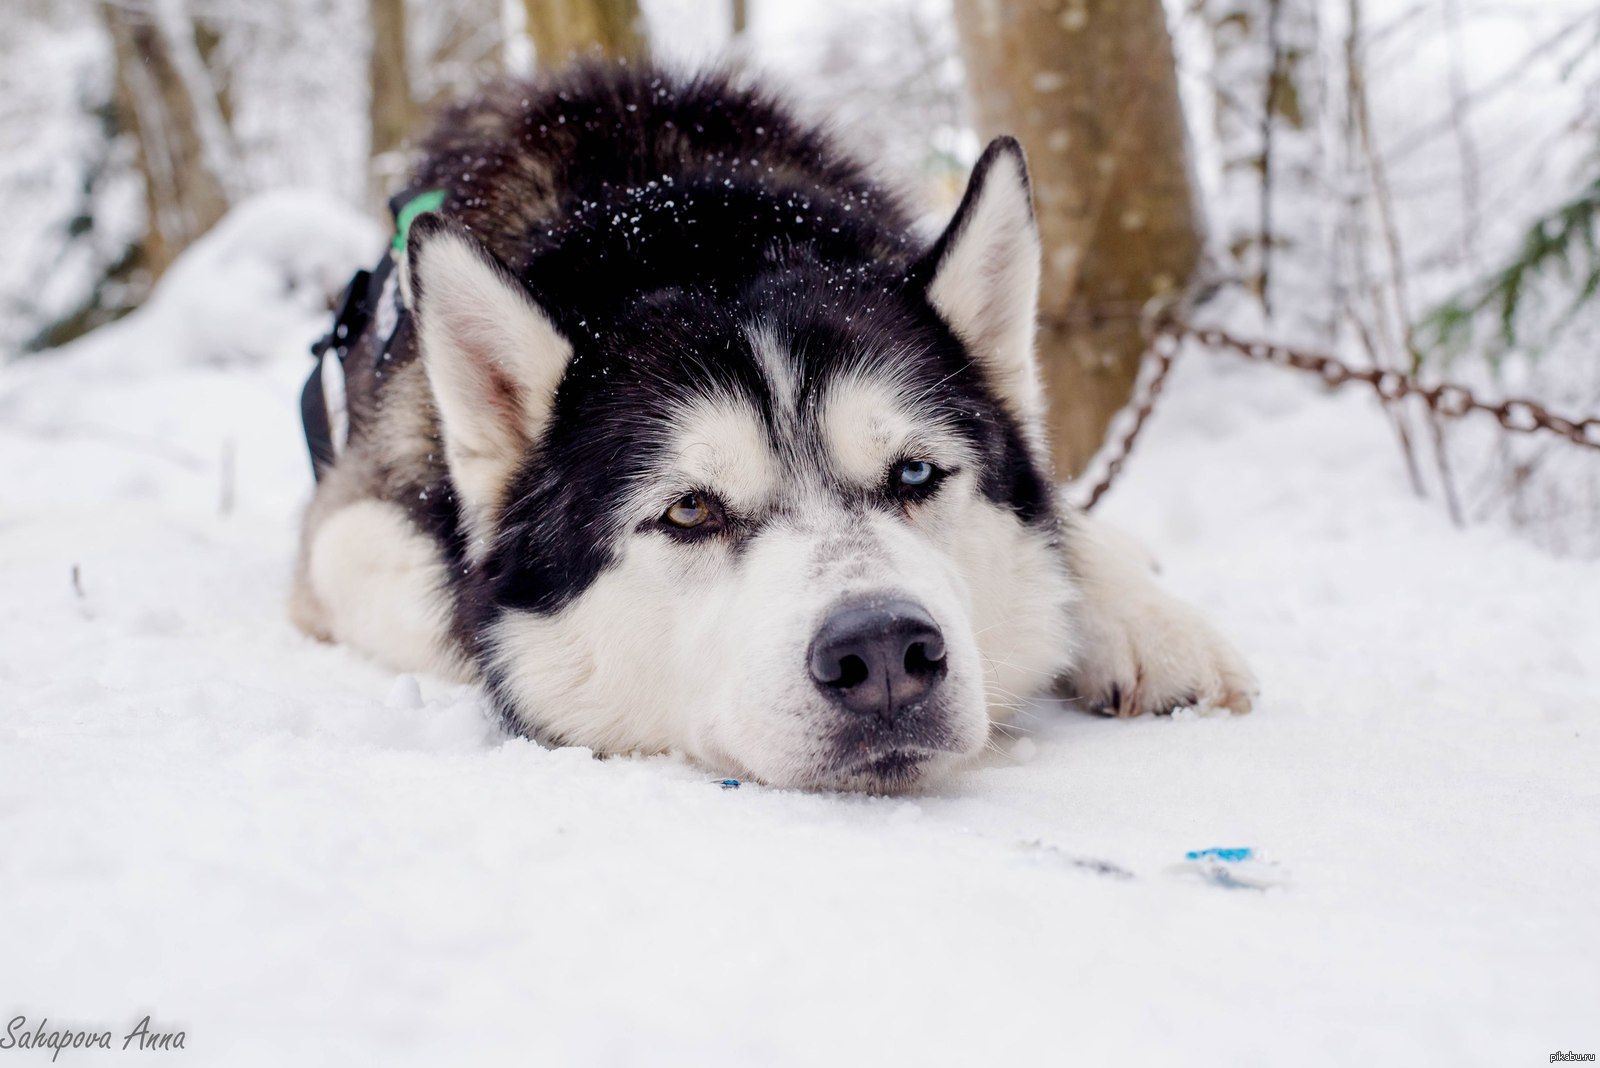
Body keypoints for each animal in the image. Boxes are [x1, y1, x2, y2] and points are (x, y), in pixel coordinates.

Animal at [294, 60, 1254, 793]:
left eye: (914, 475)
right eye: (689, 511)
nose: (884, 651)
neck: (679, 224)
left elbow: (1062, 528)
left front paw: (1145, 619)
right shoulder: (346, 526)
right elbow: (439, 601)